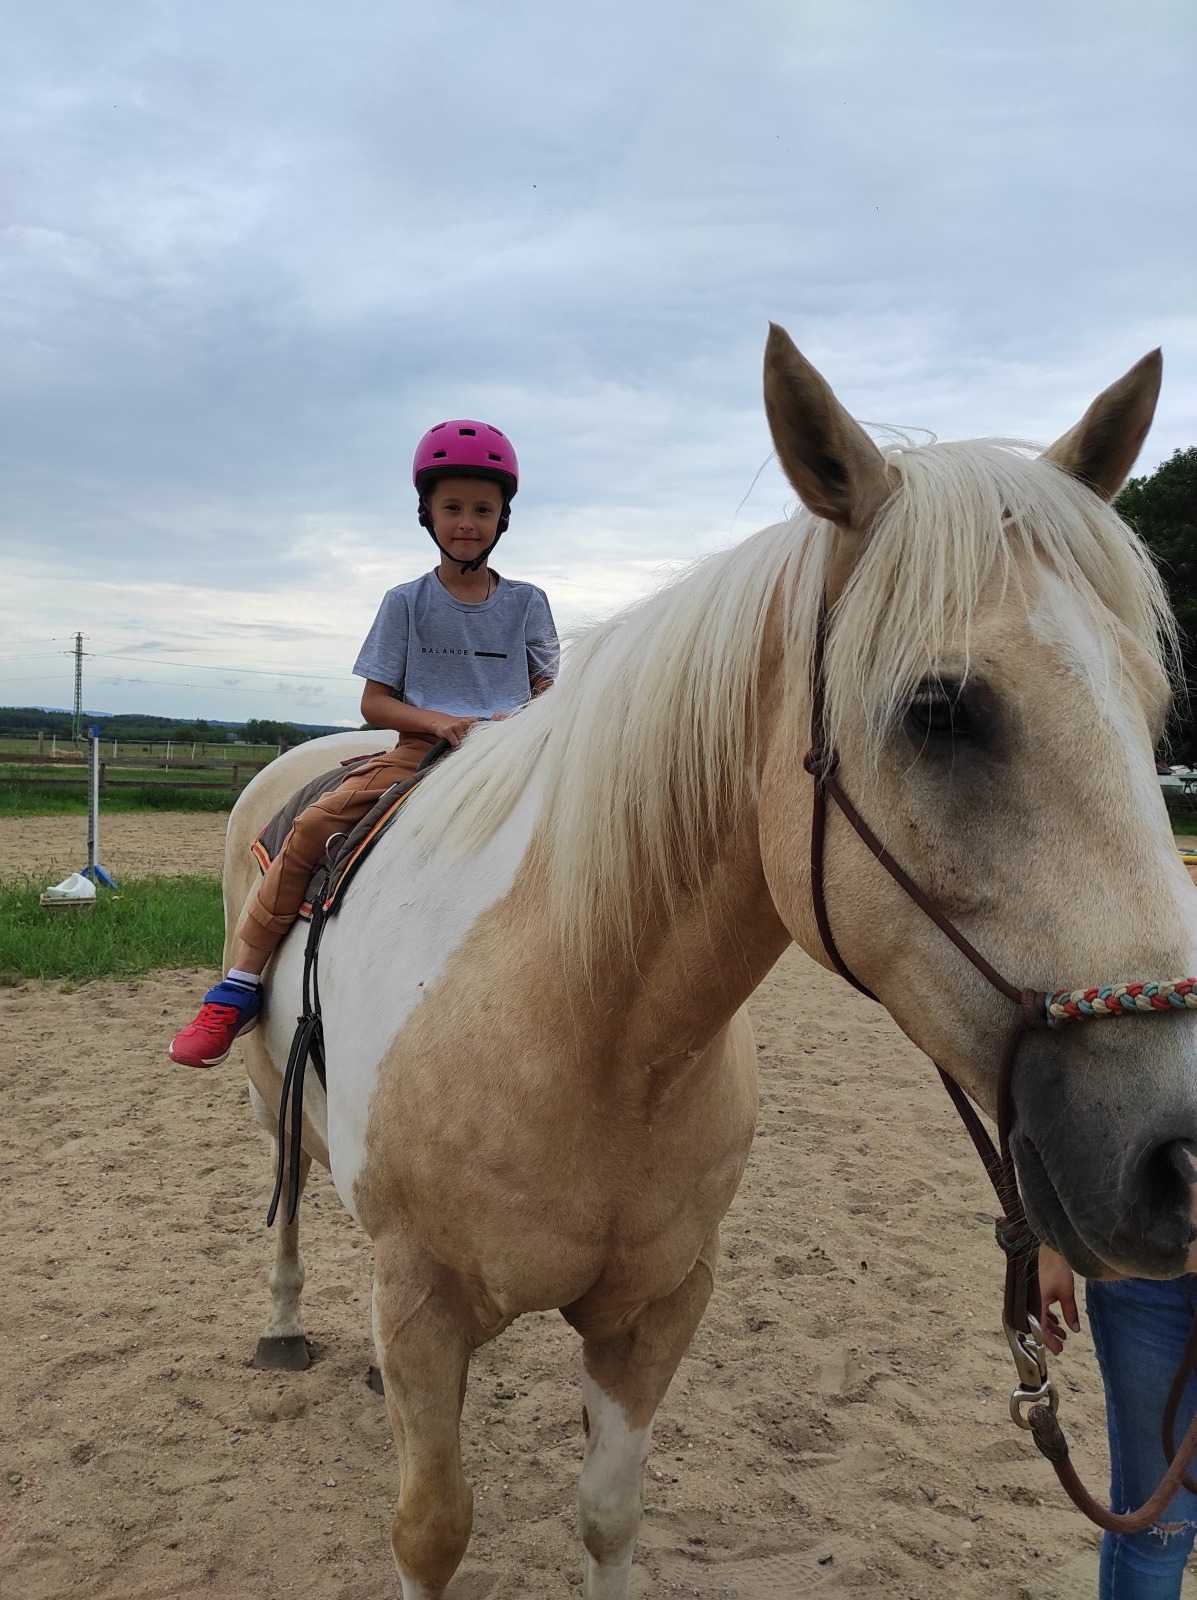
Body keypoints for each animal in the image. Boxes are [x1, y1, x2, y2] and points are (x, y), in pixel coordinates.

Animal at [224, 325, 1197, 1598]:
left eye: (1153, 708)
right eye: (940, 710)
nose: (1180, 1155)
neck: (585, 1027)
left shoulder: (657, 1307)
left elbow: (608, 1513)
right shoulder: (429, 1299)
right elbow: (429, 1528)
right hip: (268, 1098)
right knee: (291, 1193)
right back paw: (286, 1320)